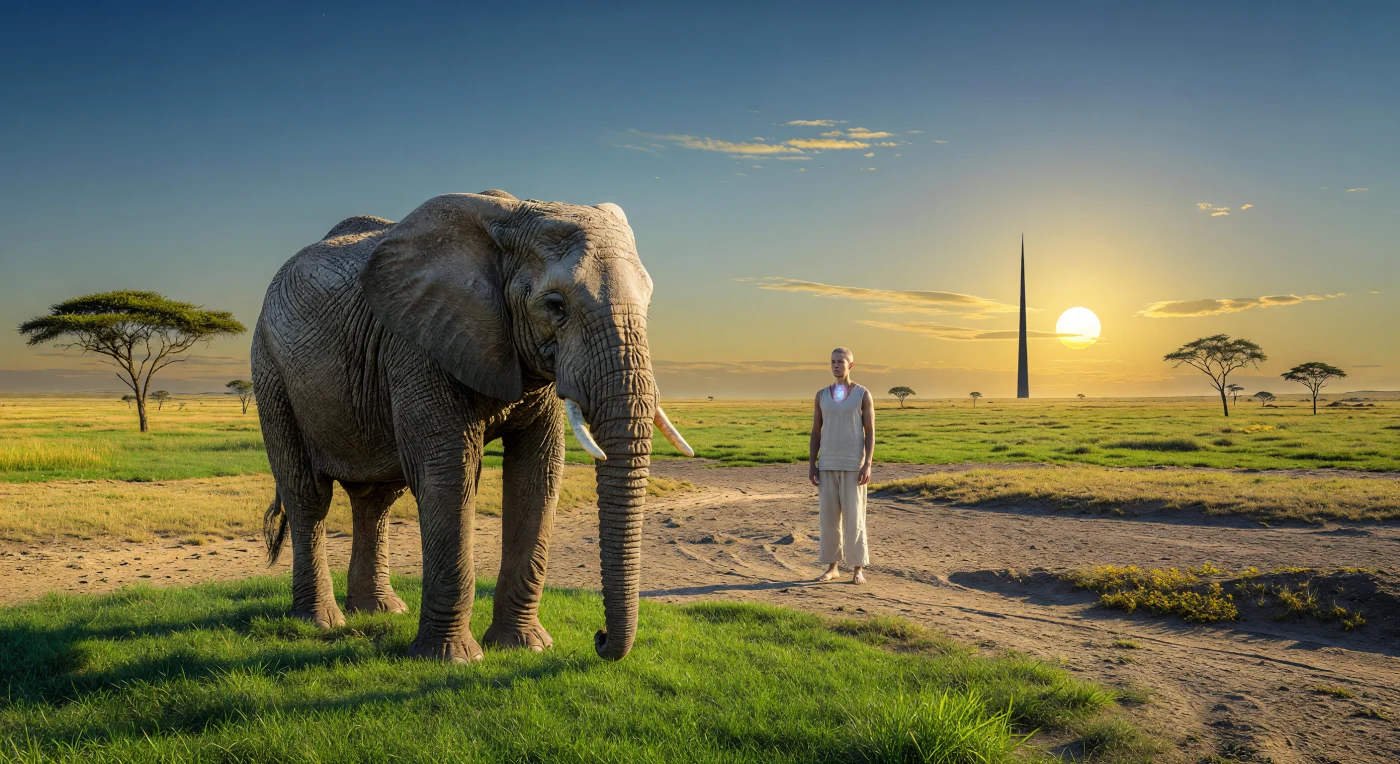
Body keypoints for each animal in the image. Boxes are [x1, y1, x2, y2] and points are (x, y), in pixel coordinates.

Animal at [251, 190, 692, 662]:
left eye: (648, 305)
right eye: (555, 305)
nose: (600, 637)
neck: (513, 218)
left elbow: (537, 473)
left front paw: (524, 648)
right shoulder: (419, 344)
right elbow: (449, 473)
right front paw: (452, 659)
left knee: (378, 499)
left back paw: (380, 612)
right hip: (271, 368)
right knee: (308, 495)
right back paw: (321, 621)